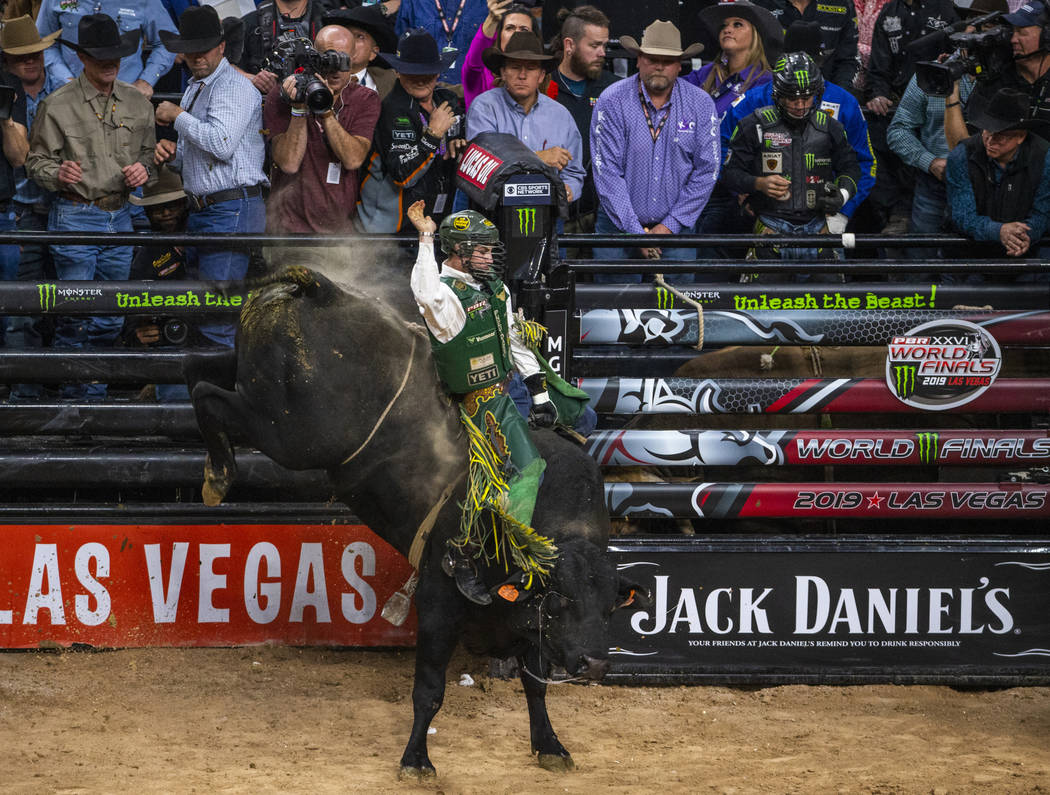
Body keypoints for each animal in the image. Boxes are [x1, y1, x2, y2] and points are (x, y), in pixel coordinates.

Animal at [190, 267, 646, 777]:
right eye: (563, 600)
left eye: (610, 607)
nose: (594, 665)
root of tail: (322, 289)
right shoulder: (438, 605)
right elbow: (429, 690)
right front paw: (415, 758)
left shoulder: (526, 619)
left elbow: (536, 684)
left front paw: (550, 745)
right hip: (291, 432)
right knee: (206, 396)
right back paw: (217, 476)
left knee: (198, 377)